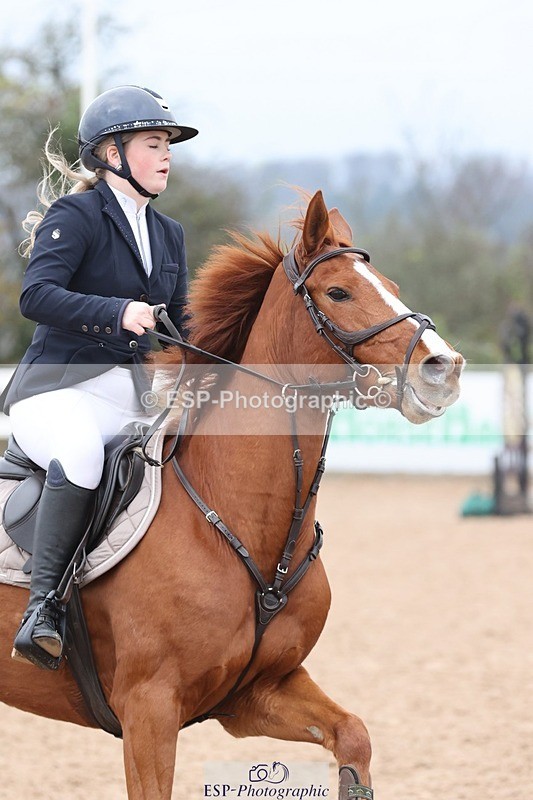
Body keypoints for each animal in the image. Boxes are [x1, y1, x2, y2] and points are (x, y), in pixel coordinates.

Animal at [0, 191, 464, 799]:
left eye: (389, 283)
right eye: (338, 292)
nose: (445, 369)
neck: (243, 523)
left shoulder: (258, 692)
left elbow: (355, 737)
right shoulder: (149, 710)